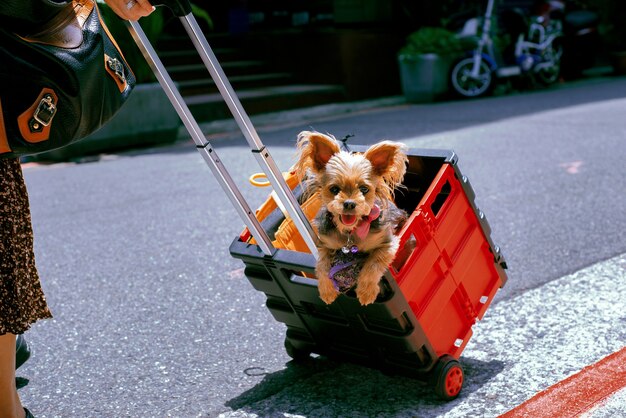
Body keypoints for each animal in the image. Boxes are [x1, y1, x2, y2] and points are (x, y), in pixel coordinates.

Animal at [294, 129, 408, 306]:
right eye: (334, 189)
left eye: (364, 189)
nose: (349, 203)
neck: (350, 232)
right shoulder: (325, 245)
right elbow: (322, 266)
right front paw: (327, 291)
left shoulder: (387, 244)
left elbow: (373, 265)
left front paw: (366, 293)